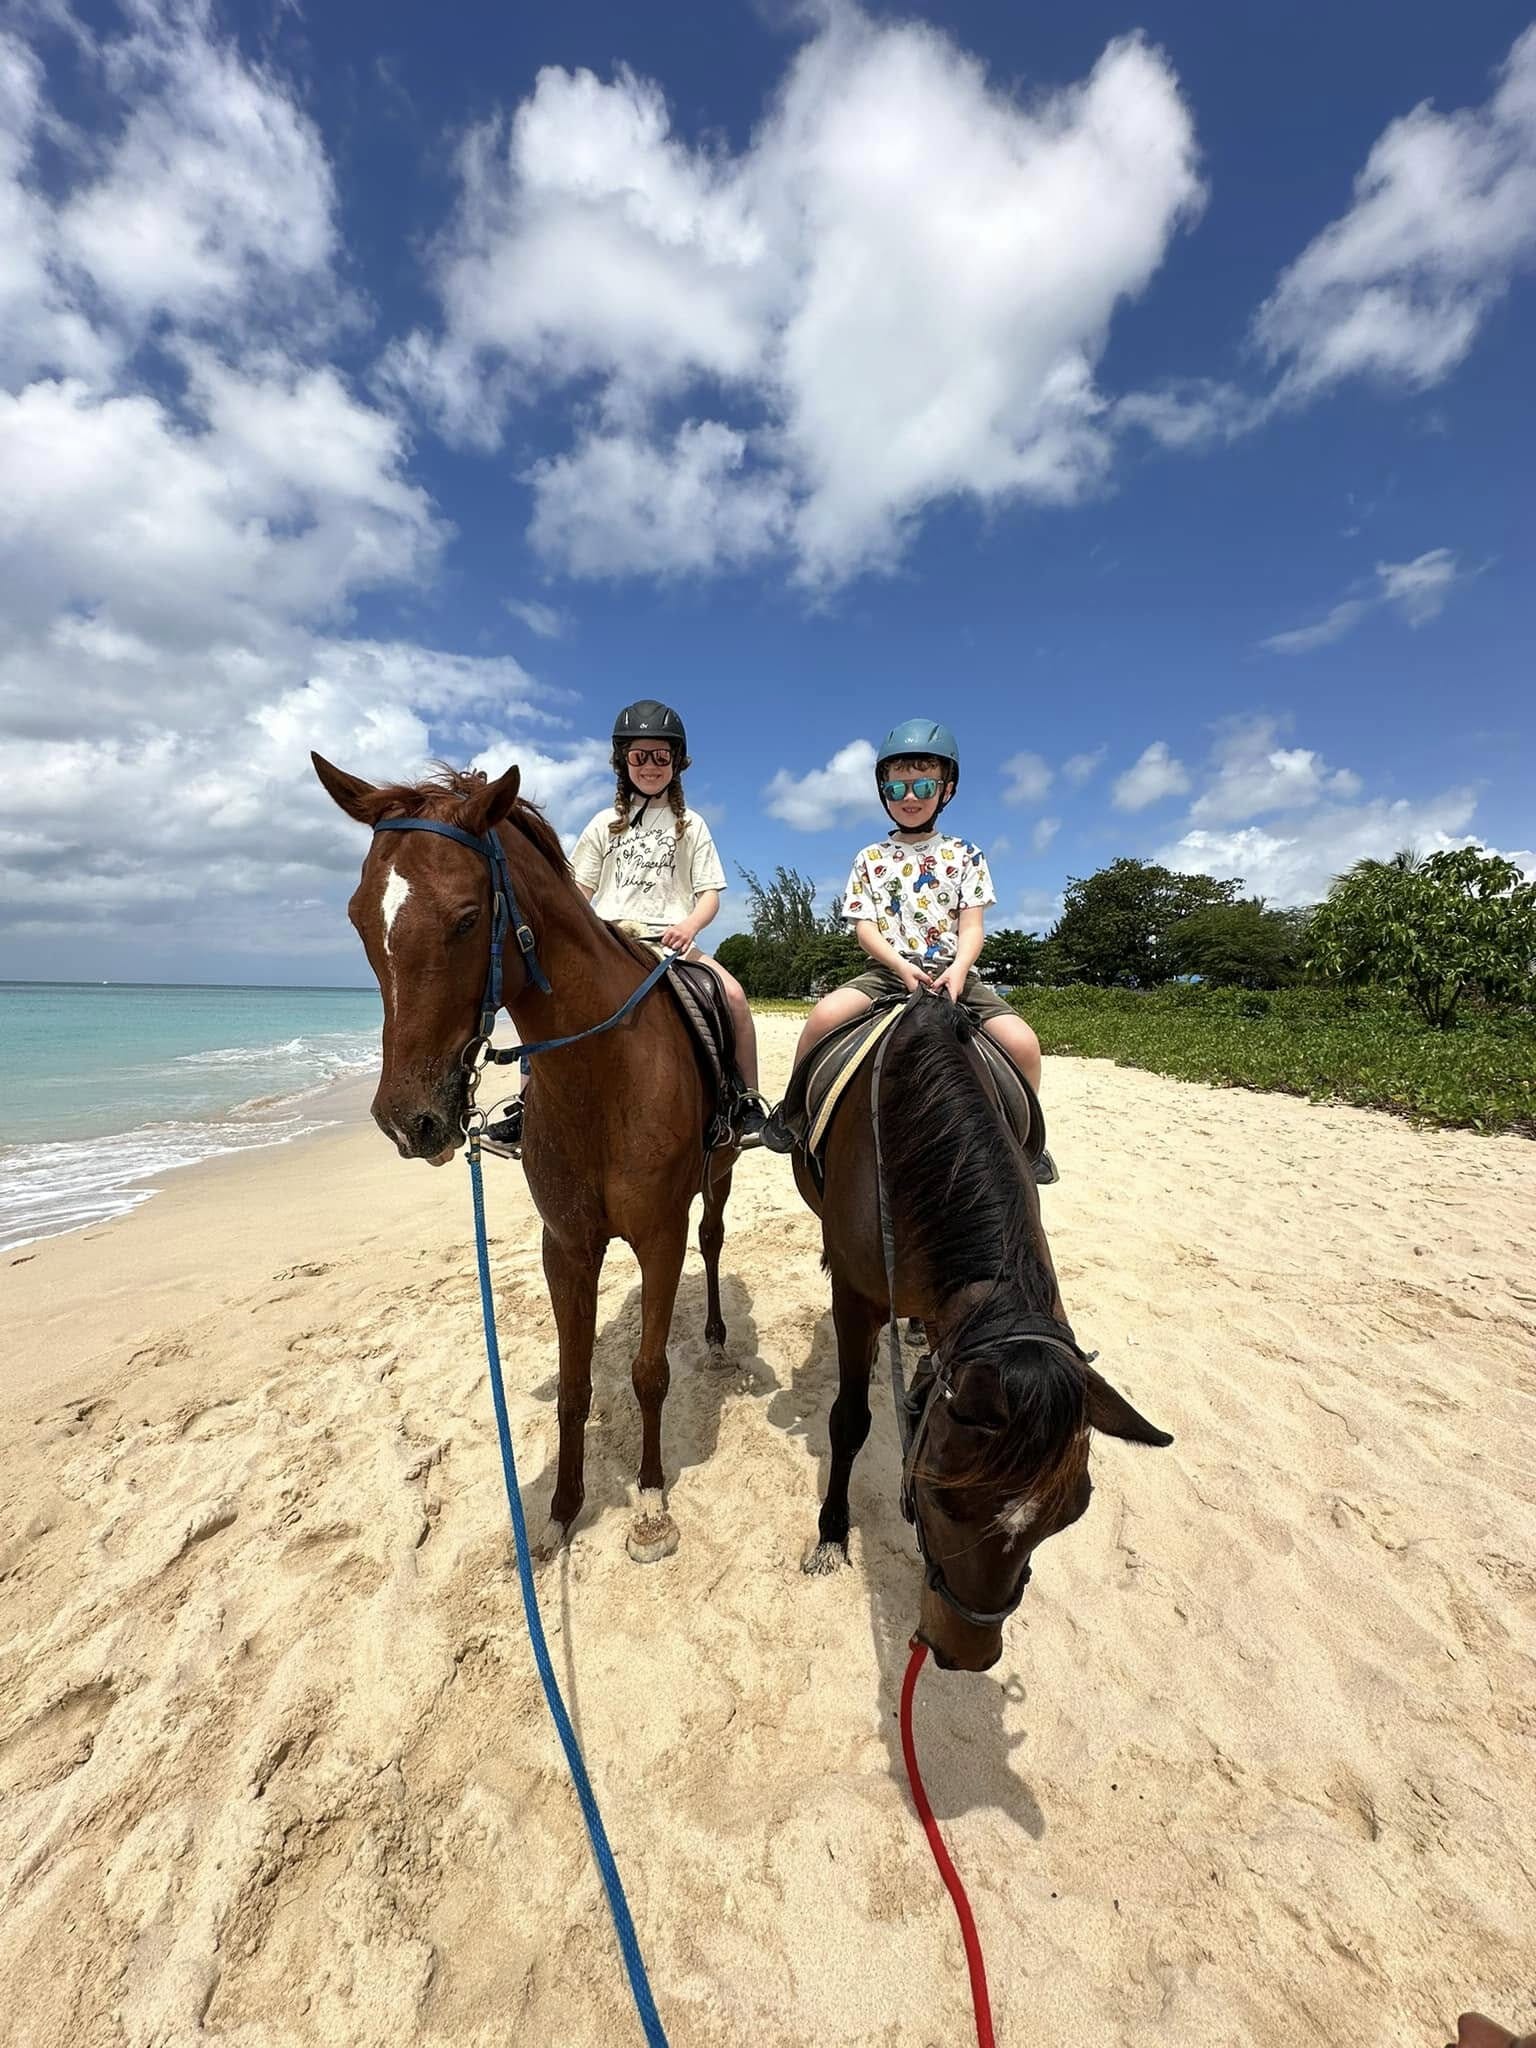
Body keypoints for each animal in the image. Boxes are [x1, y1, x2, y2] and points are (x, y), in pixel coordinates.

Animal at [312, 754, 736, 1565]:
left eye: (467, 918)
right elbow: (574, 1385)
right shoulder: (565, 1246)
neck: (602, 1074)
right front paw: (563, 1510)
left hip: (721, 1175)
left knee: (713, 1238)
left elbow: (649, 1372)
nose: (407, 1121)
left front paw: (649, 1505)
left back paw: (718, 1339)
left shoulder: (659, 1238)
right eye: (357, 918)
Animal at [792, 993, 1172, 1672]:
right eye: (938, 1498)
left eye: (1069, 1516)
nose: (967, 1654)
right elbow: (850, 1421)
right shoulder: (855, 1301)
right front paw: (832, 1534)